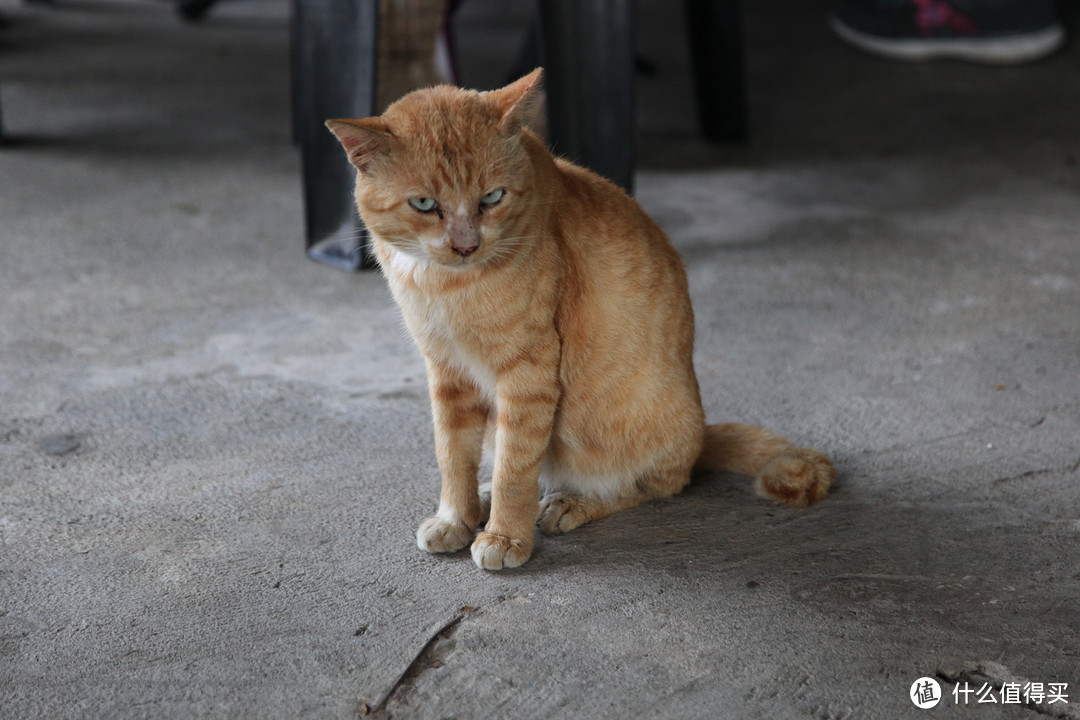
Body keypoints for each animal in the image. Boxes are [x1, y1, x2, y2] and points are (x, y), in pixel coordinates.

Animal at [324, 70, 829, 569]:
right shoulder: (446, 371)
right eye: (425, 205)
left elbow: (515, 469)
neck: (444, 286)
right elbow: (453, 454)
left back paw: (568, 504)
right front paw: (457, 518)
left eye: (492, 197)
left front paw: (505, 536)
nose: (465, 246)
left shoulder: (528, 374)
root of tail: (700, 436)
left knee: (651, 485)